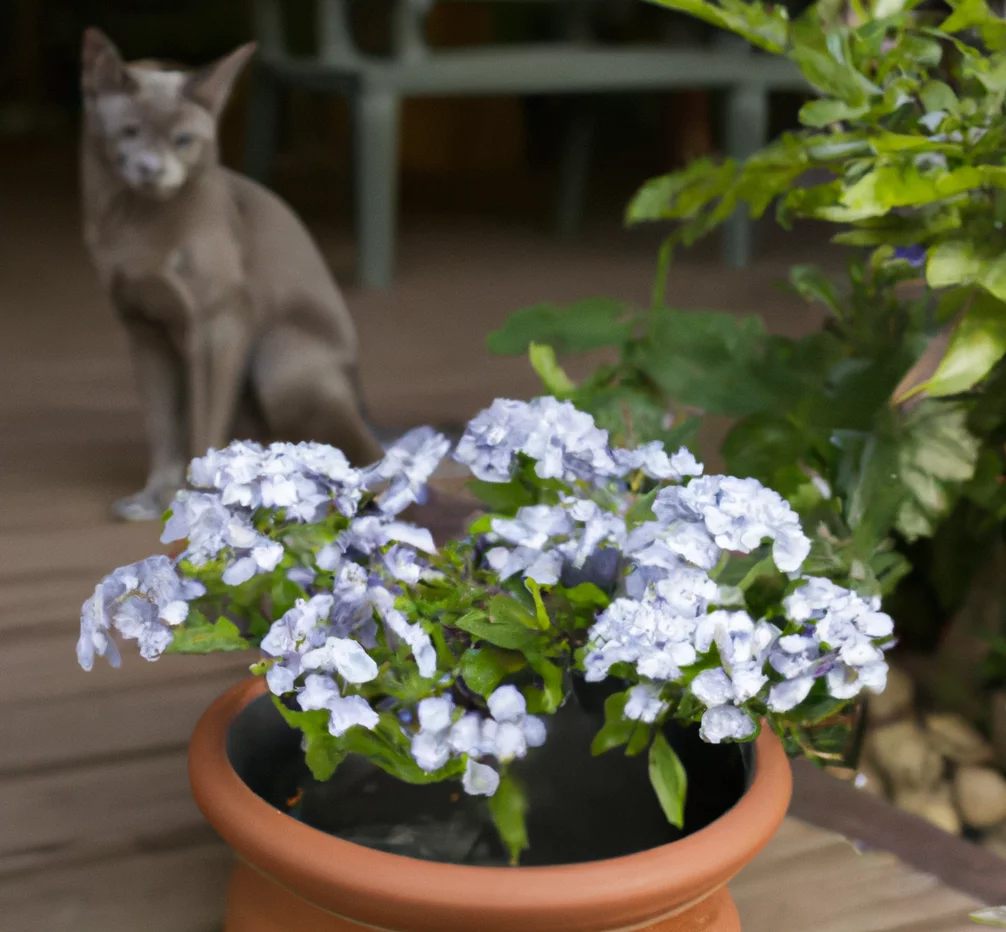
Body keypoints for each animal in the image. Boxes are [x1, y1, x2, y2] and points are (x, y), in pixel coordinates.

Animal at [79, 29, 380, 523]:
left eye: (183, 139)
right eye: (129, 132)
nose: (151, 170)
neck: (137, 226)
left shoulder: (219, 323)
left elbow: (203, 425)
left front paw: (195, 497)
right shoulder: (145, 331)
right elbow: (163, 428)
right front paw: (152, 498)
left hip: (279, 360)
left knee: (363, 452)